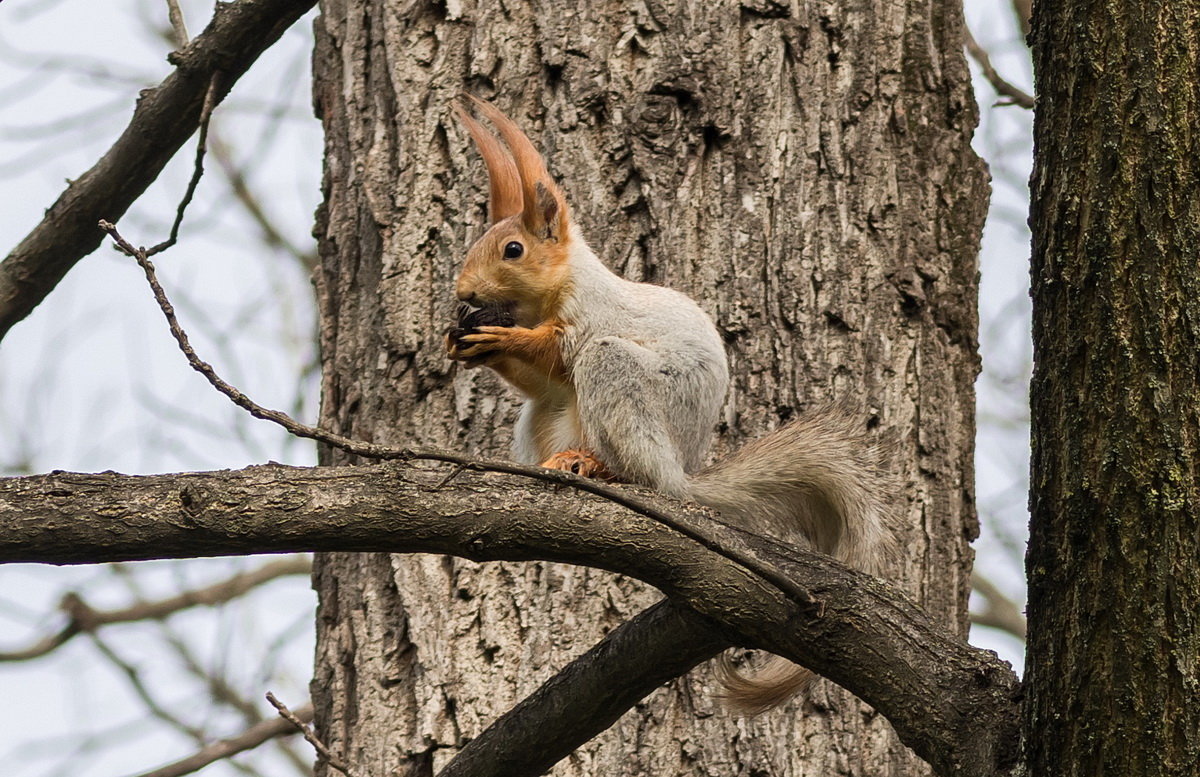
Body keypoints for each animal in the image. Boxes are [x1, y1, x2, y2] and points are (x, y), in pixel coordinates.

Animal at [444, 98, 892, 714]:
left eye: (514, 250)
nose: (463, 293)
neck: (552, 293)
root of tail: (682, 469)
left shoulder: (590, 321)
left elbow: (555, 354)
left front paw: (501, 337)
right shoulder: (541, 378)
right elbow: (538, 382)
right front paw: (465, 343)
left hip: (623, 381)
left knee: (639, 468)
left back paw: (597, 466)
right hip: (541, 422)